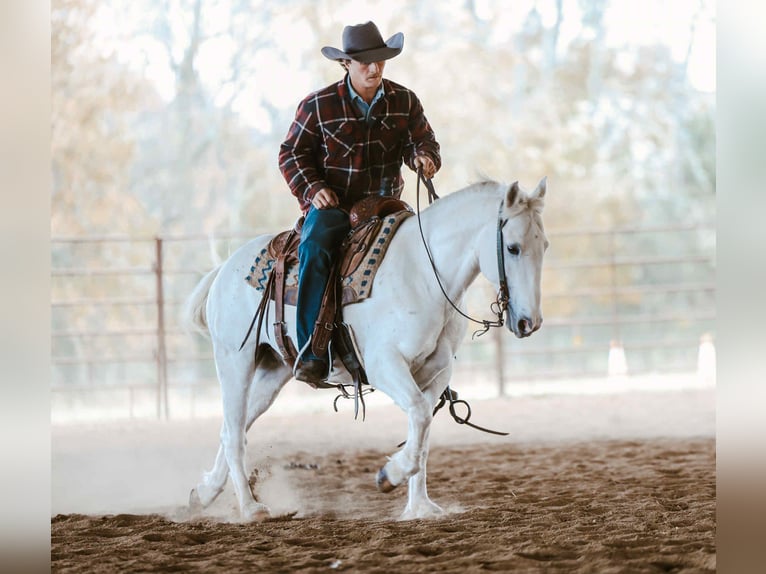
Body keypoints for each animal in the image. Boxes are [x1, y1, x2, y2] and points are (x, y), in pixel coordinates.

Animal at [184, 177, 549, 521]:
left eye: (544, 245)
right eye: (513, 248)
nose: (529, 322)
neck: (423, 273)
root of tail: (224, 269)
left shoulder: (438, 370)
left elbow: (422, 431)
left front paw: (420, 507)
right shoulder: (383, 364)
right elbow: (418, 414)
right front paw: (390, 475)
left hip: (273, 371)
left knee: (233, 427)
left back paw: (205, 492)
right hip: (235, 361)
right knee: (234, 434)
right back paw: (250, 508)